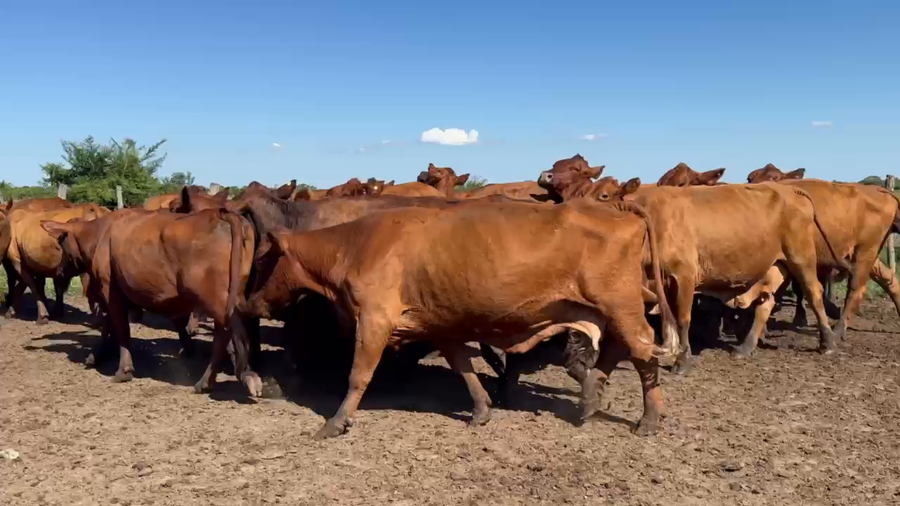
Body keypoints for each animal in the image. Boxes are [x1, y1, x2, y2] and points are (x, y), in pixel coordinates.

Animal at [241, 199, 677, 439]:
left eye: (262, 261)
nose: (247, 304)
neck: (354, 246)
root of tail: (615, 207)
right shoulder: (439, 324)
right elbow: (462, 366)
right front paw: (482, 409)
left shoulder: (374, 320)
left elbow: (358, 376)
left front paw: (336, 422)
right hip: (611, 307)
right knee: (622, 350)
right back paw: (590, 399)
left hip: (621, 304)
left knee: (642, 353)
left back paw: (650, 418)